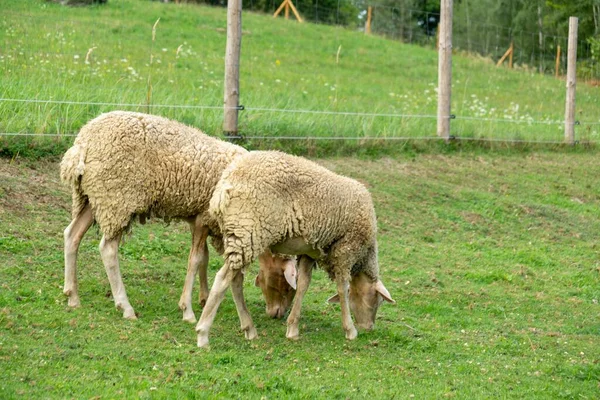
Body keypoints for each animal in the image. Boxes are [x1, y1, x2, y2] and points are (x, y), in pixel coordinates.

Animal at [60, 111, 296, 324]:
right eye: (285, 285)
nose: (278, 314)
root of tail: (82, 143)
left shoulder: (198, 217)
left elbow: (203, 257)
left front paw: (204, 298)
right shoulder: (204, 218)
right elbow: (195, 259)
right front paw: (187, 310)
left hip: (92, 197)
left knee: (72, 235)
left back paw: (72, 295)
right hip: (117, 199)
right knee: (108, 249)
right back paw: (125, 306)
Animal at [195, 150, 396, 346]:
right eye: (378, 300)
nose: (369, 327)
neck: (365, 256)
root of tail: (223, 186)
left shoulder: (310, 252)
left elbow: (303, 285)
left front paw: (292, 329)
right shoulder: (345, 249)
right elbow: (342, 287)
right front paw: (350, 330)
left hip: (241, 234)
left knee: (236, 280)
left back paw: (249, 329)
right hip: (248, 231)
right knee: (223, 279)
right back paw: (203, 333)